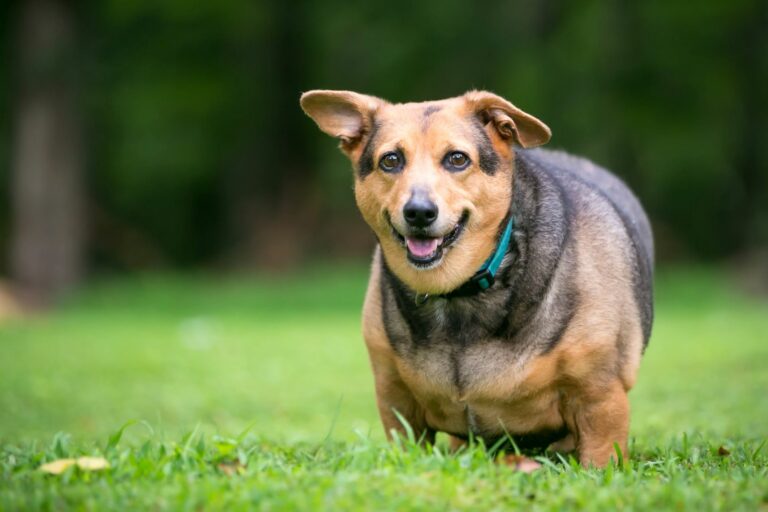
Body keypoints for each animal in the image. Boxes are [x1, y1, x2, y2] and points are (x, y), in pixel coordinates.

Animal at [300, 90, 656, 466]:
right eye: (391, 160)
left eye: (457, 159)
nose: (419, 212)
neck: (457, 293)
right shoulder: (396, 400)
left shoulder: (599, 399)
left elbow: (598, 462)